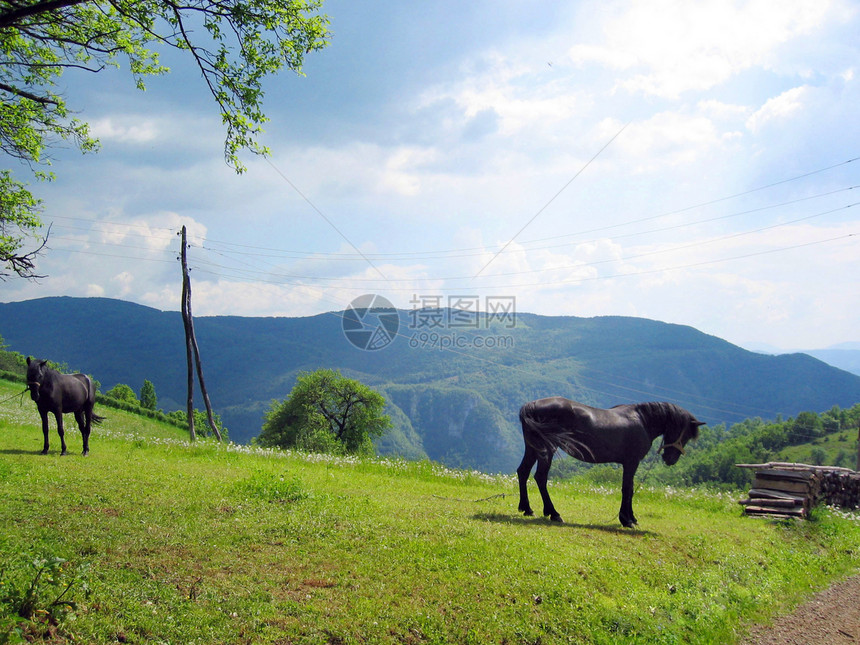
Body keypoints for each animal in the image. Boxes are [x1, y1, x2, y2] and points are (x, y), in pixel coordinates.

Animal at [512, 398, 704, 528]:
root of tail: (531, 405)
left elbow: (630, 489)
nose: (670, 459)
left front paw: (631, 518)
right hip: (547, 449)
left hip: (533, 448)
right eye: (685, 433)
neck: (642, 420)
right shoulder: (631, 463)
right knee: (541, 477)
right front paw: (626, 519)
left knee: (523, 472)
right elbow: (627, 489)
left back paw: (527, 508)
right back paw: (553, 513)